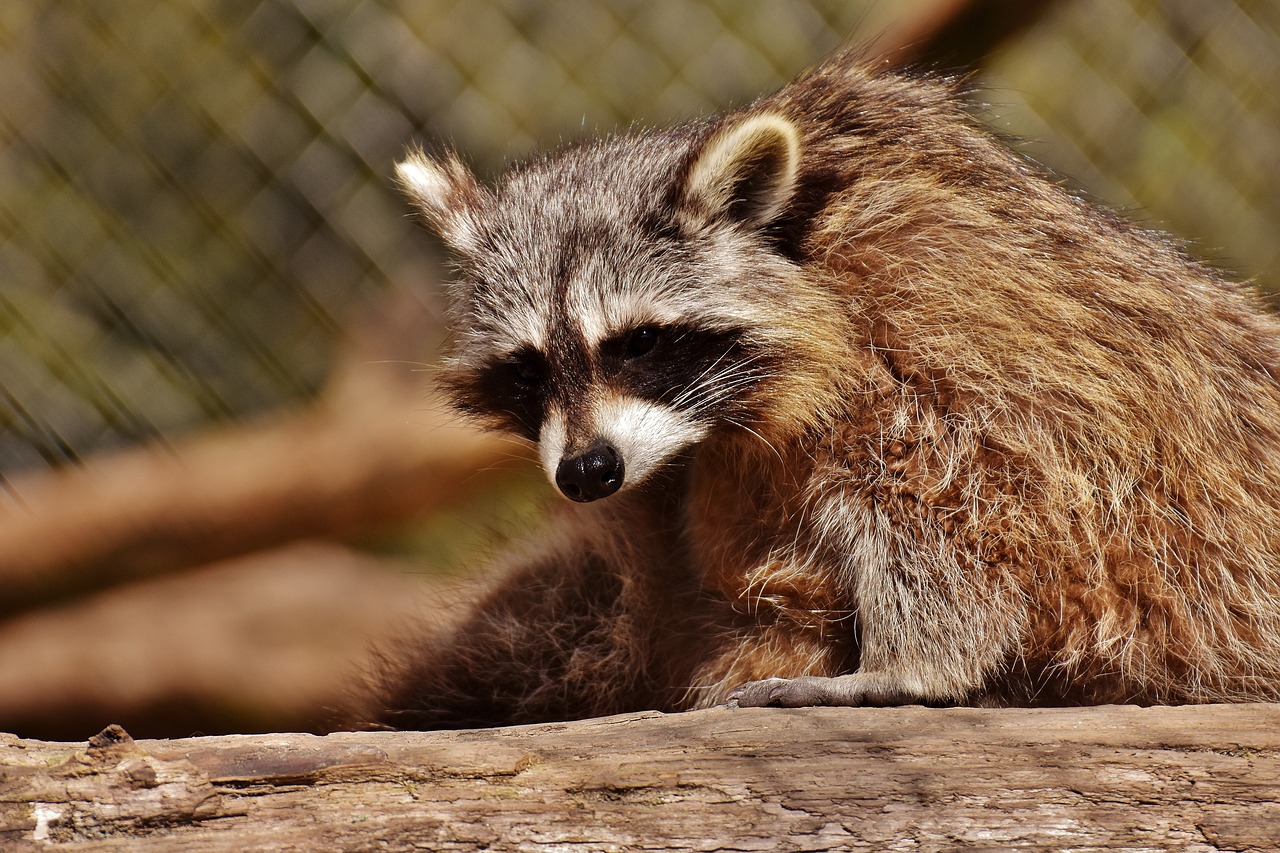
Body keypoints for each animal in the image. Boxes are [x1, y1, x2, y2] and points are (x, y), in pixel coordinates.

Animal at [345, 54, 1280, 732]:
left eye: (639, 343)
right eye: (530, 367)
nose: (587, 472)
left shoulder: (938, 298)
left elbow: (968, 473)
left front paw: (923, 660)